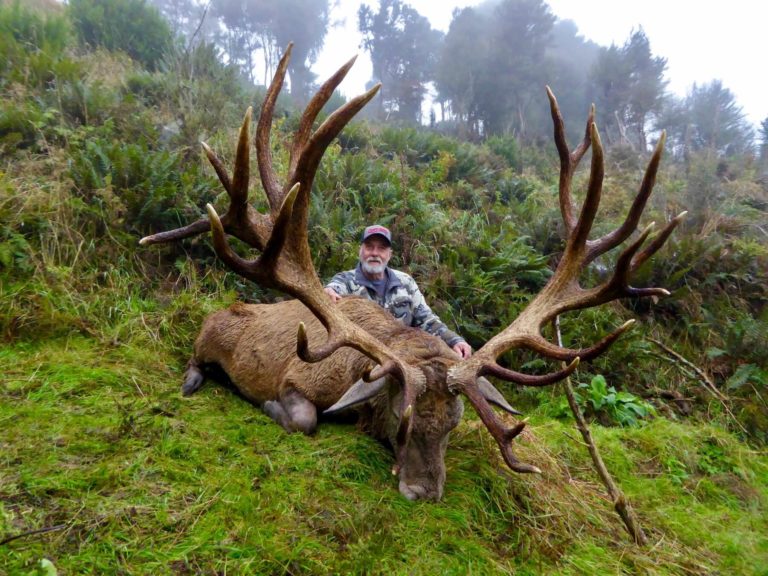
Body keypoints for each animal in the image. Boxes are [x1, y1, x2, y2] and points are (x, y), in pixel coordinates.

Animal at [140, 44, 685, 501]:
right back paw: (196, 378)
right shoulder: (298, 377)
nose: (424, 492)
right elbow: (304, 419)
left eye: (453, 426)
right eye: (400, 419)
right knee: (196, 354)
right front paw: (268, 405)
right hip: (211, 330)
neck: (360, 379)